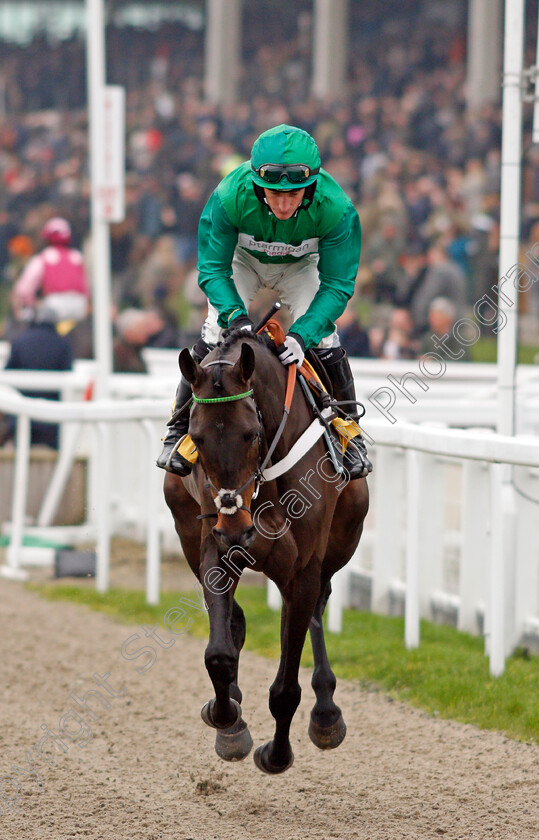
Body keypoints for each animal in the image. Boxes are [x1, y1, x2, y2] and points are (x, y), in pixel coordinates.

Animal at [162, 330, 370, 776]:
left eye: (251, 433)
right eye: (197, 436)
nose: (236, 528)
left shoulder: (303, 568)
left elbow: (286, 687)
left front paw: (276, 754)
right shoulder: (214, 548)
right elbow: (219, 654)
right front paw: (227, 722)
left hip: (342, 540)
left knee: (317, 607)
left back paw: (326, 714)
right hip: (186, 528)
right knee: (236, 620)